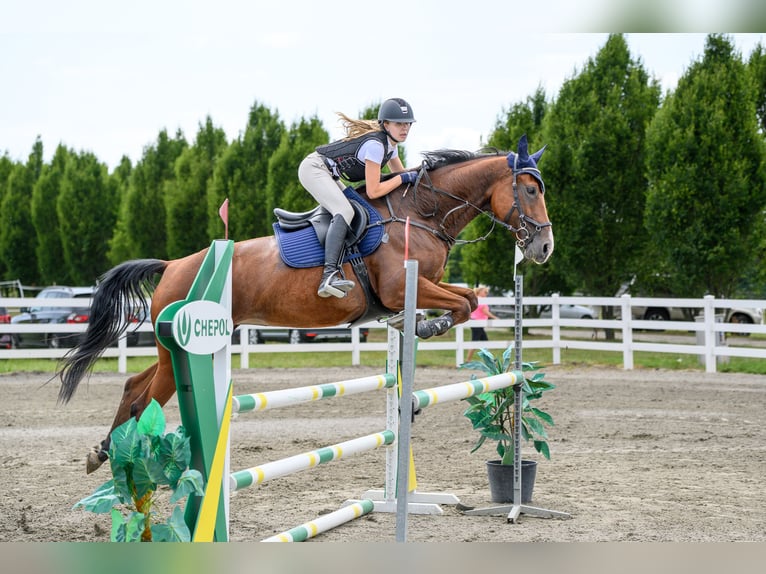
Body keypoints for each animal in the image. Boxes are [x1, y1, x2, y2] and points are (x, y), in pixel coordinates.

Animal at [57, 136, 556, 476]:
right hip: (181, 346)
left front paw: (416, 328)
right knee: (145, 396)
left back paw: (105, 453)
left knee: (134, 386)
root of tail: (174, 264)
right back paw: (112, 458)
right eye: (530, 191)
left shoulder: (428, 283)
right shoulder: (402, 287)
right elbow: (461, 304)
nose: (544, 248)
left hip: (170, 348)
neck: (422, 212)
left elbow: (468, 298)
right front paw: (426, 327)